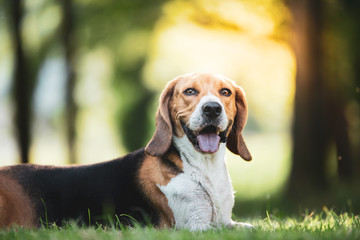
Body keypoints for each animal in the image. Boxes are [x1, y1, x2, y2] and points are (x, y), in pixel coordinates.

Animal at [0, 72, 252, 230]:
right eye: (190, 91)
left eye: (225, 92)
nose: (212, 109)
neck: (203, 167)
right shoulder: (194, 226)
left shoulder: (226, 223)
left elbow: (249, 226)